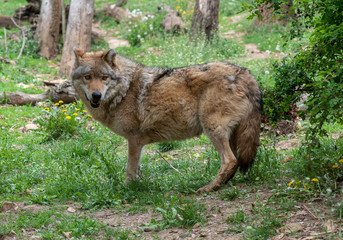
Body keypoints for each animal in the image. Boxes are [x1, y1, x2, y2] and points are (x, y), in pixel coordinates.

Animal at [71, 48, 262, 193]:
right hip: (231, 135)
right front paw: (137, 186)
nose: (96, 95)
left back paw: (209, 188)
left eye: (104, 77)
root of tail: (247, 73)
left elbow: (129, 169)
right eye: (88, 77)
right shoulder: (137, 143)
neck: (123, 91)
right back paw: (222, 184)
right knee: (235, 161)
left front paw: (127, 190)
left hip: (213, 129)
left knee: (230, 161)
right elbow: (137, 169)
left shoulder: (133, 138)